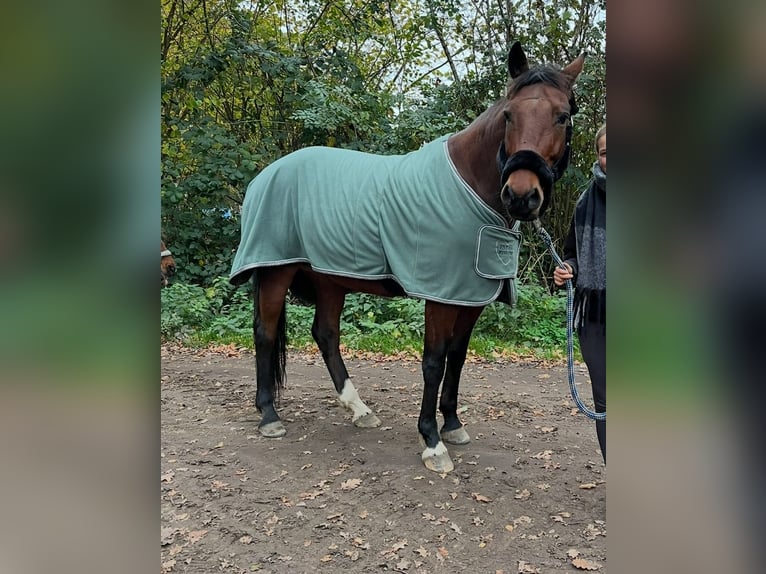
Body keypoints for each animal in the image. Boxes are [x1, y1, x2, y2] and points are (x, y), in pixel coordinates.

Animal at [231, 42, 584, 474]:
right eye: (508, 114)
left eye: (562, 116)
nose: (520, 195)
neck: (469, 185)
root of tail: (265, 175)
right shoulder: (441, 295)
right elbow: (434, 362)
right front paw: (432, 441)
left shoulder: (471, 296)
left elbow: (457, 358)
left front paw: (453, 424)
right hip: (276, 271)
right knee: (264, 333)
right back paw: (269, 415)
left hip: (331, 278)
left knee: (326, 334)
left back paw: (359, 409)